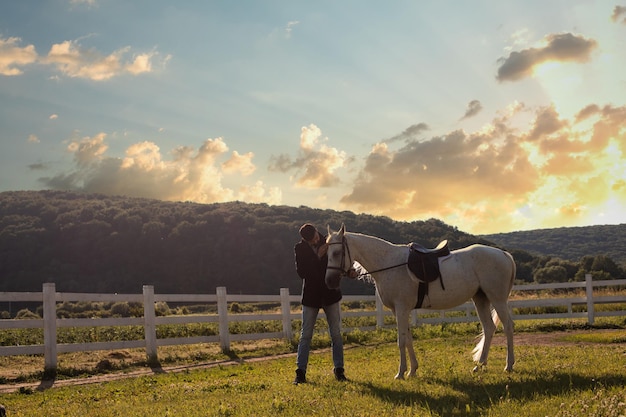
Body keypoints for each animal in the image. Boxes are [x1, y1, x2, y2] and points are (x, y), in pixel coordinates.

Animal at [324, 226, 516, 378]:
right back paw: (479, 366)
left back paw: (509, 365)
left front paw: (400, 373)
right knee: (489, 328)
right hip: (480, 299)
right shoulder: (399, 310)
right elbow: (408, 338)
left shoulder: (401, 309)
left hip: (497, 299)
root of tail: (504, 254)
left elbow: (401, 340)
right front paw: (413, 370)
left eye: (337, 253)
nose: (329, 281)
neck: (389, 263)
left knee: (507, 326)